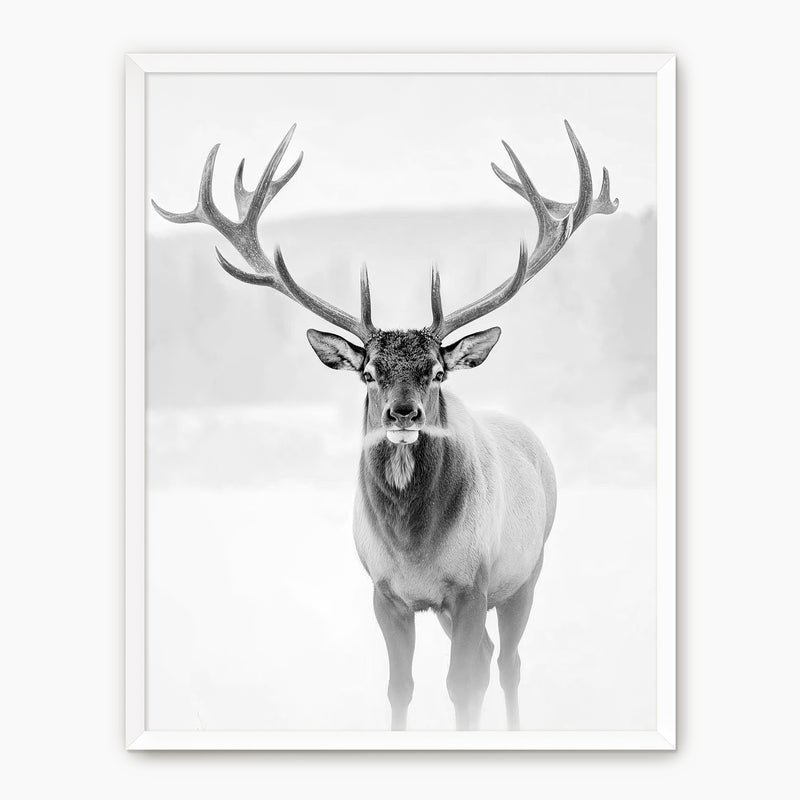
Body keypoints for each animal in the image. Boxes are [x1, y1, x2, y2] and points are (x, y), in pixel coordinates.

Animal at [152, 121, 618, 731]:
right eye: (369, 372)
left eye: (437, 371)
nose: (403, 413)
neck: (413, 547)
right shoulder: (384, 592)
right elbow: (401, 688)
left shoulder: (472, 584)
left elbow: (462, 686)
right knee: (491, 655)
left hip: (527, 569)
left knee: (508, 663)